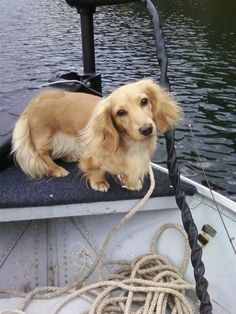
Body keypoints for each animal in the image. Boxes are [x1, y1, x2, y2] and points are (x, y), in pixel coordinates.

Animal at [11, 78, 181, 191]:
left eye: (144, 101)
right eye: (120, 112)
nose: (147, 129)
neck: (131, 145)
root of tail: (32, 104)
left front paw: (131, 183)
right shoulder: (92, 156)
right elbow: (96, 171)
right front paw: (99, 183)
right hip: (43, 137)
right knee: (43, 156)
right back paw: (57, 170)